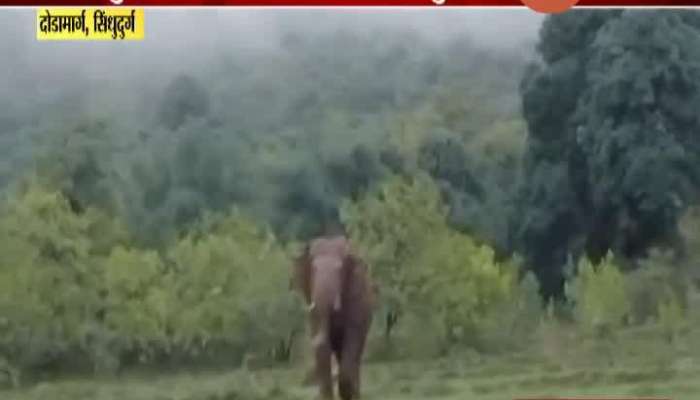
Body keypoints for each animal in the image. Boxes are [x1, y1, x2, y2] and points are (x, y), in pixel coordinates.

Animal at [292, 234, 374, 400]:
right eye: (313, 269)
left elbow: (352, 338)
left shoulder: (356, 297)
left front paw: (347, 392)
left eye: (340, 269)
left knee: (355, 353)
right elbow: (323, 350)